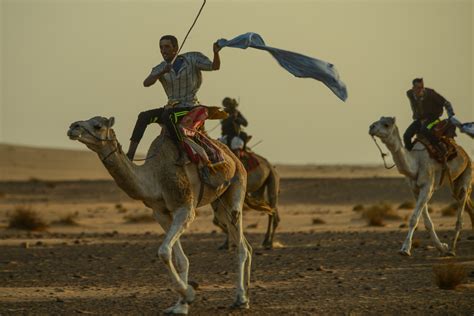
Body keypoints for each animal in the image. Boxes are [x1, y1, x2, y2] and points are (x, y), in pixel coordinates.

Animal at [67, 116, 252, 314]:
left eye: (98, 126)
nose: (72, 127)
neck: (154, 177)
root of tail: (234, 157)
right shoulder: (161, 213)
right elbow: (180, 259)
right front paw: (181, 305)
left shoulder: (185, 208)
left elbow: (163, 251)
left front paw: (189, 294)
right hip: (219, 205)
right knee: (244, 243)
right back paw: (245, 295)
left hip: (237, 185)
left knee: (241, 243)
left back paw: (241, 299)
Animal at [370, 116, 474, 256]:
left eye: (386, 124)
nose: (371, 127)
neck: (415, 162)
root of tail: (465, 154)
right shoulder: (415, 189)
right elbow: (427, 222)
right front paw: (441, 247)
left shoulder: (427, 186)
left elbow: (414, 219)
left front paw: (405, 249)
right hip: (455, 184)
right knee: (467, 204)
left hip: (467, 173)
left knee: (461, 213)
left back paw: (452, 249)